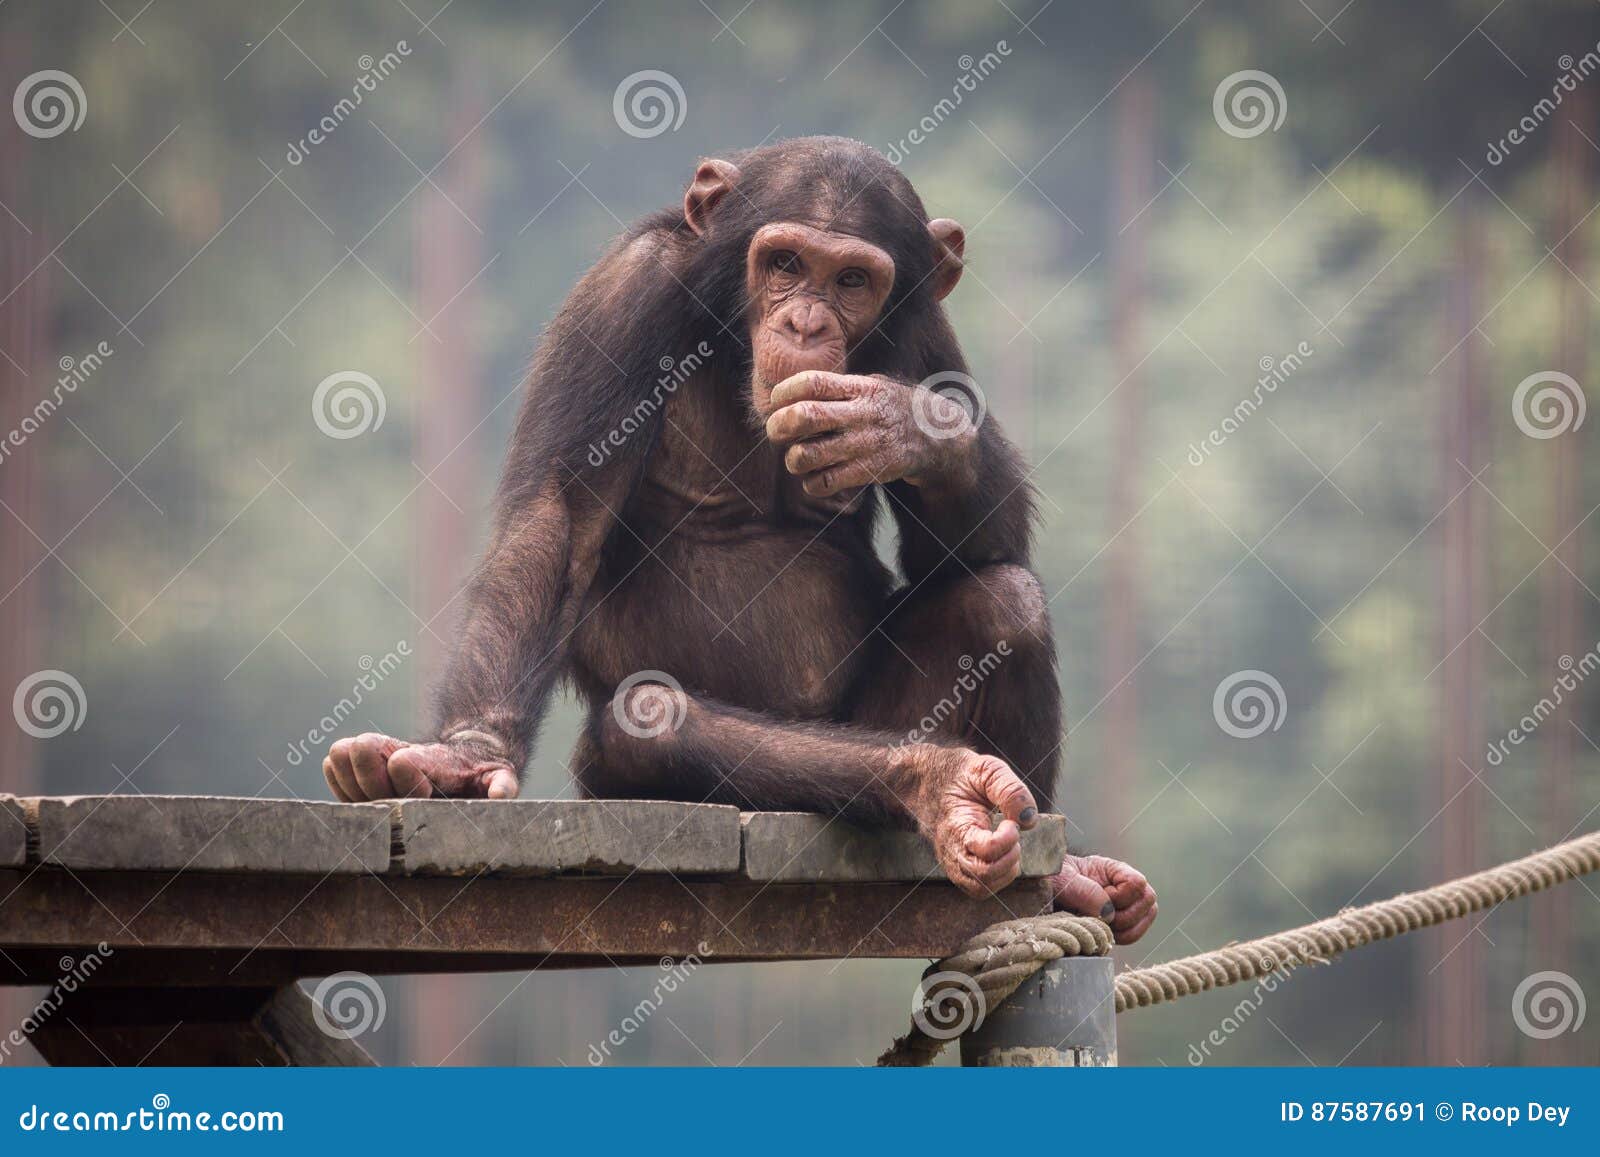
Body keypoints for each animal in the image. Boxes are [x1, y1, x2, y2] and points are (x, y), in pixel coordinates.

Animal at [321, 140, 1152, 947]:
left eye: (853, 279)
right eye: (784, 263)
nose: (807, 324)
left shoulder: (924, 329)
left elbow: (969, 551)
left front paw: (906, 426)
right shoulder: (624, 292)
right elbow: (558, 515)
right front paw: (465, 757)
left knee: (1003, 600)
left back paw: (1062, 869)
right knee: (650, 715)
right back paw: (936, 783)